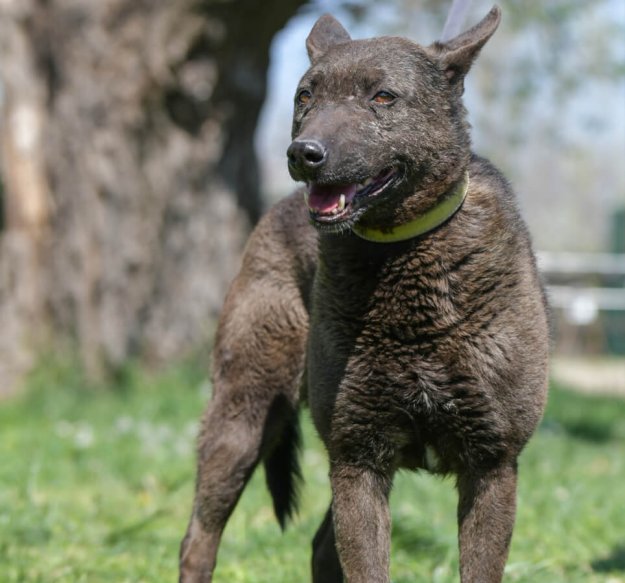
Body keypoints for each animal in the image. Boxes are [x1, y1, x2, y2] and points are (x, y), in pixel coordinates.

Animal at [180, 6, 549, 582]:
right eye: (305, 96)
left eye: (383, 97)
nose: (303, 154)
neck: (402, 255)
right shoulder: (358, 459)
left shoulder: (491, 466)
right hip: (242, 418)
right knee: (199, 539)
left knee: (318, 546)